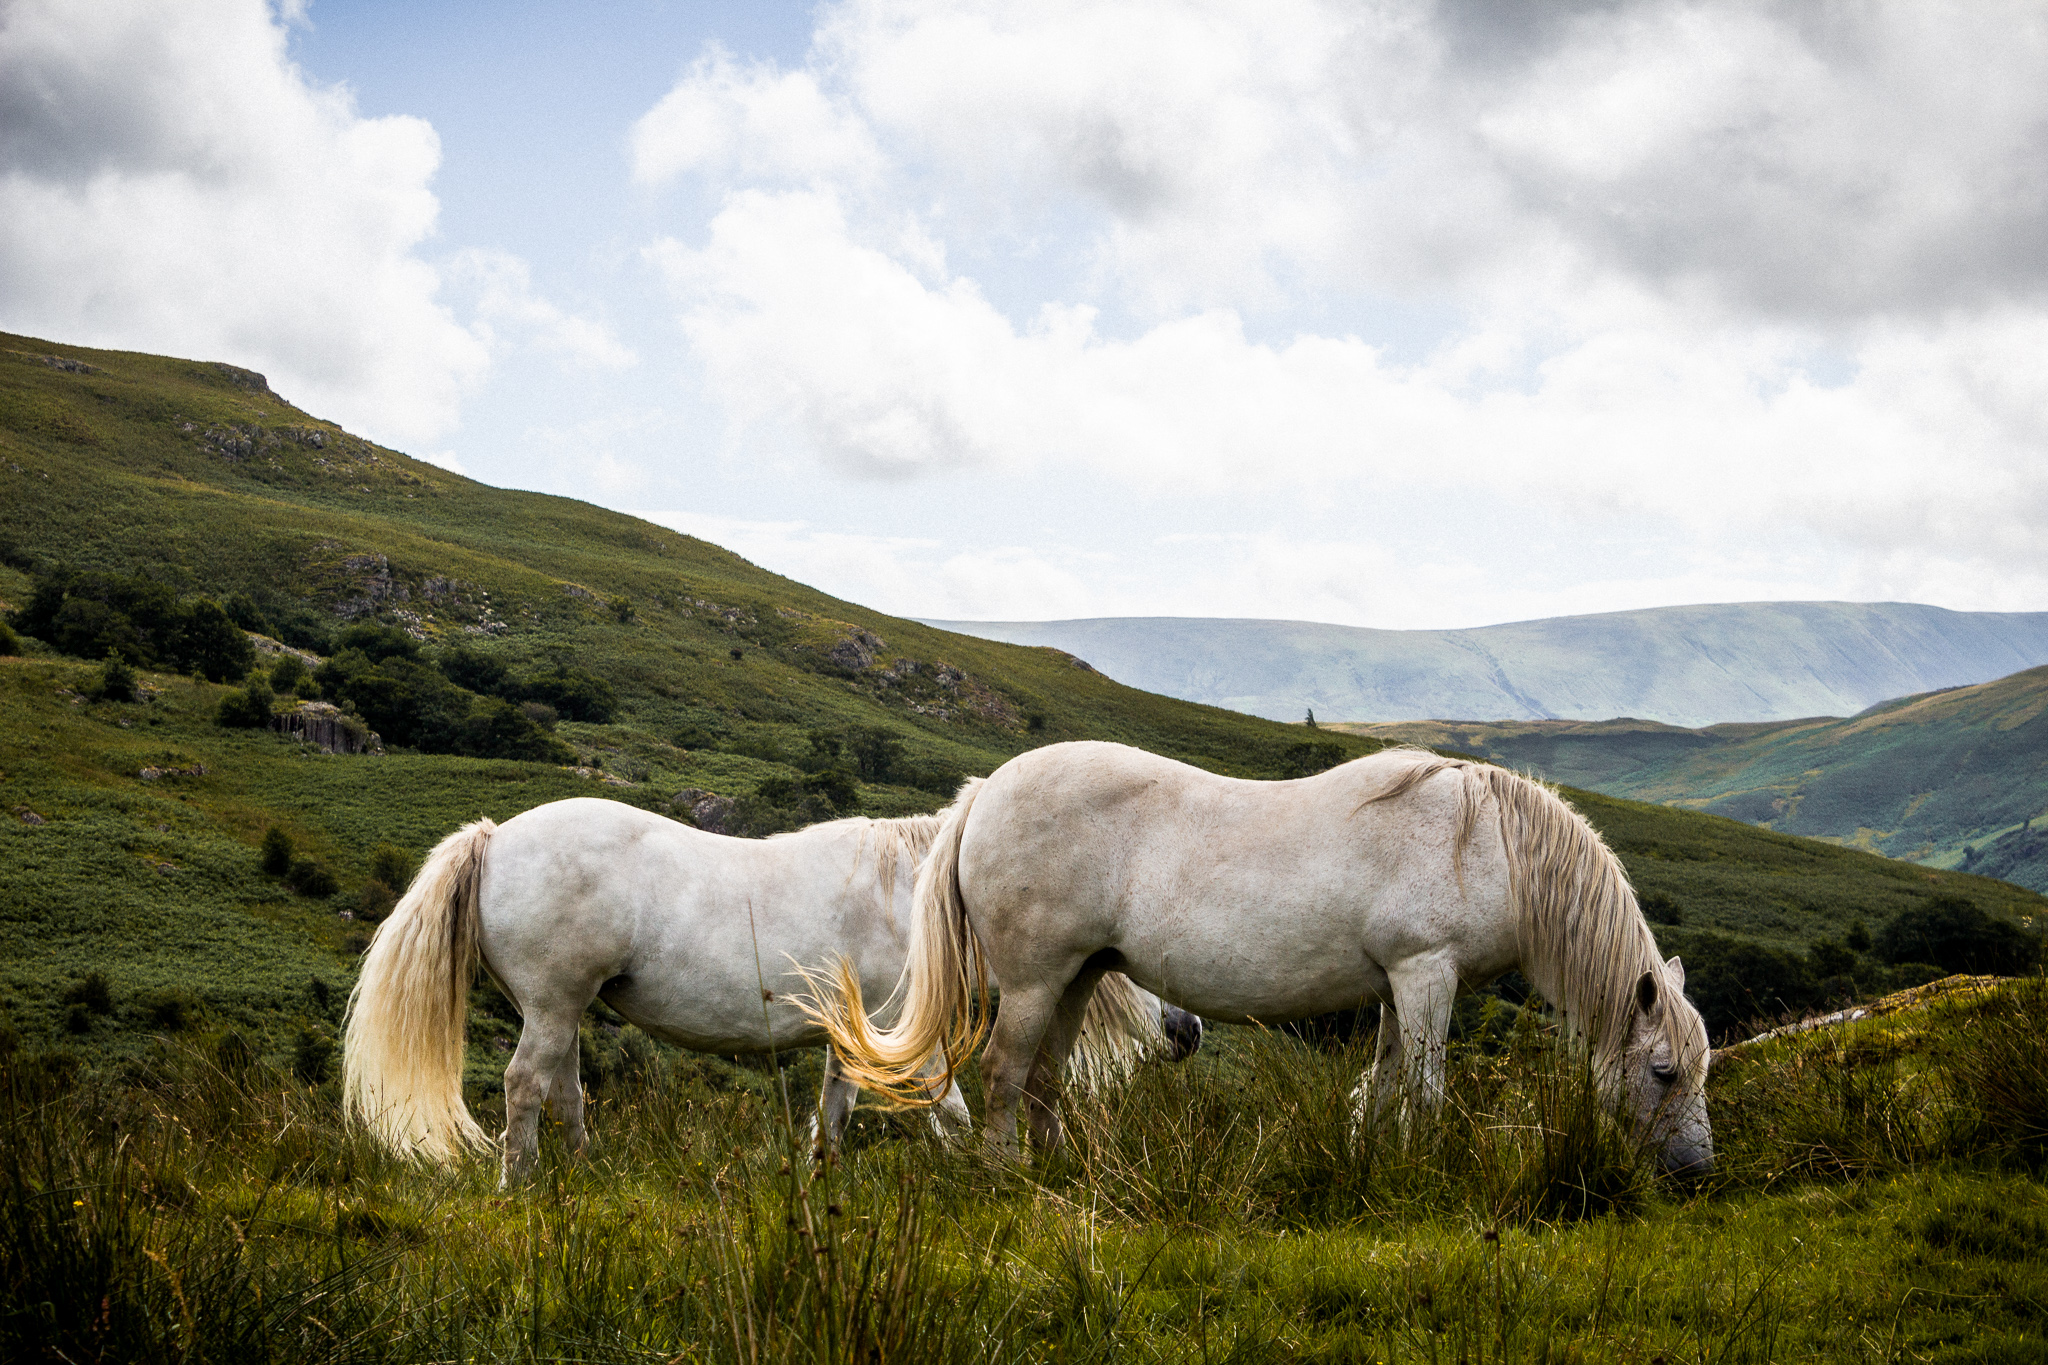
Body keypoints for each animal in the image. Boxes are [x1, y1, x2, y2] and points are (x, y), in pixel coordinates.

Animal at [342, 789, 1196, 1186]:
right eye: (1123, 957)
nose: (1186, 1031)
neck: (917, 897)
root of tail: (494, 838)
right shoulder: (902, 1035)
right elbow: (946, 1108)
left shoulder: (852, 1035)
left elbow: (835, 1110)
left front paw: (825, 1180)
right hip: (553, 1003)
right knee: (525, 1085)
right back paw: (518, 1183)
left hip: (563, 1009)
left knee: (563, 1090)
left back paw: (584, 1171)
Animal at [806, 740, 1720, 1178]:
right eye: (1665, 1070)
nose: (1696, 1171)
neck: (1483, 838)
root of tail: (984, 793)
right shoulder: (1426, 972)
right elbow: (1424, 1089)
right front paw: (1426, 1168)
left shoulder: (1397, 985)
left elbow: (1384, 1084)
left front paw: (1374, 1163)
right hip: (1034, 982)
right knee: (1002, 1074)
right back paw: (1006, 1180)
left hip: (1078, 978)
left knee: (1042, 1081)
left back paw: (1058, 1172)